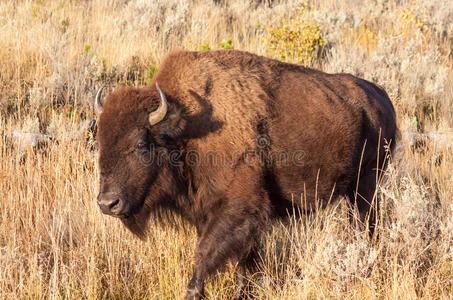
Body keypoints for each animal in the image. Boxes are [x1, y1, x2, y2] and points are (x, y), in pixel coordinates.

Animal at [94, 50, 396, 298]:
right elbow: (242, 260)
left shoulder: (239, 207)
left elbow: (205, 254)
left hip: (365, 188)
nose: (108, 203)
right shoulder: (212, 213)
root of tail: (381, 97)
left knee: (367, 225)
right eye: (100, 141)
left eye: (140, 144)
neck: (188, 131)